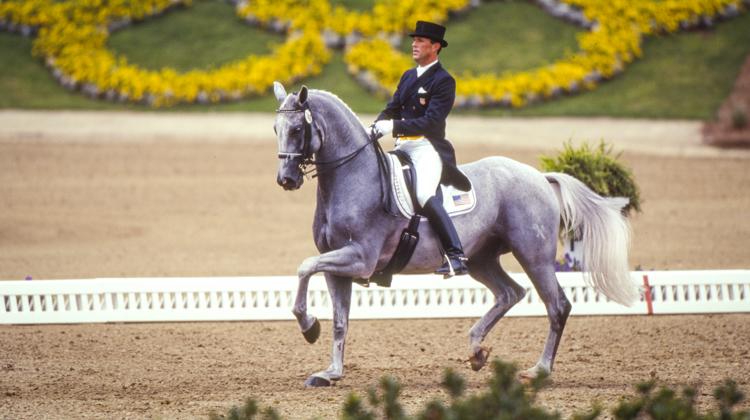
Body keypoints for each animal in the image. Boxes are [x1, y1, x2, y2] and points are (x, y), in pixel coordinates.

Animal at [274, 82, 636, 388]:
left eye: (297, 129)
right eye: (276, 129)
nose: (286, 180)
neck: (353, 177)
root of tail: (538, 176)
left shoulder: (360, 259)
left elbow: (304, 267)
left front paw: (308, 327)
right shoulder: (338, 266)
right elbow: (339, 319)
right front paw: (330, 371)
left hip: (534, 256)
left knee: (557, 305)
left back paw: (538, 371)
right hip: (481, 259)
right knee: (510, 293)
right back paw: (476, 351)